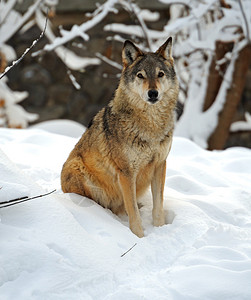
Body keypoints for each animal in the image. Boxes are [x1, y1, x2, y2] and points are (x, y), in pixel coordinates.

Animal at [60, 37, 178, 237]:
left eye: (160, 74)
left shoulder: (160, 165)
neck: (150, 126)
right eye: (141, 75)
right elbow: (134, 214)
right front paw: (139, 237)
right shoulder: (126, 172)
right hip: (78, 170)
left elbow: (158, 208)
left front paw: (160, 229)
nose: (153, 93)